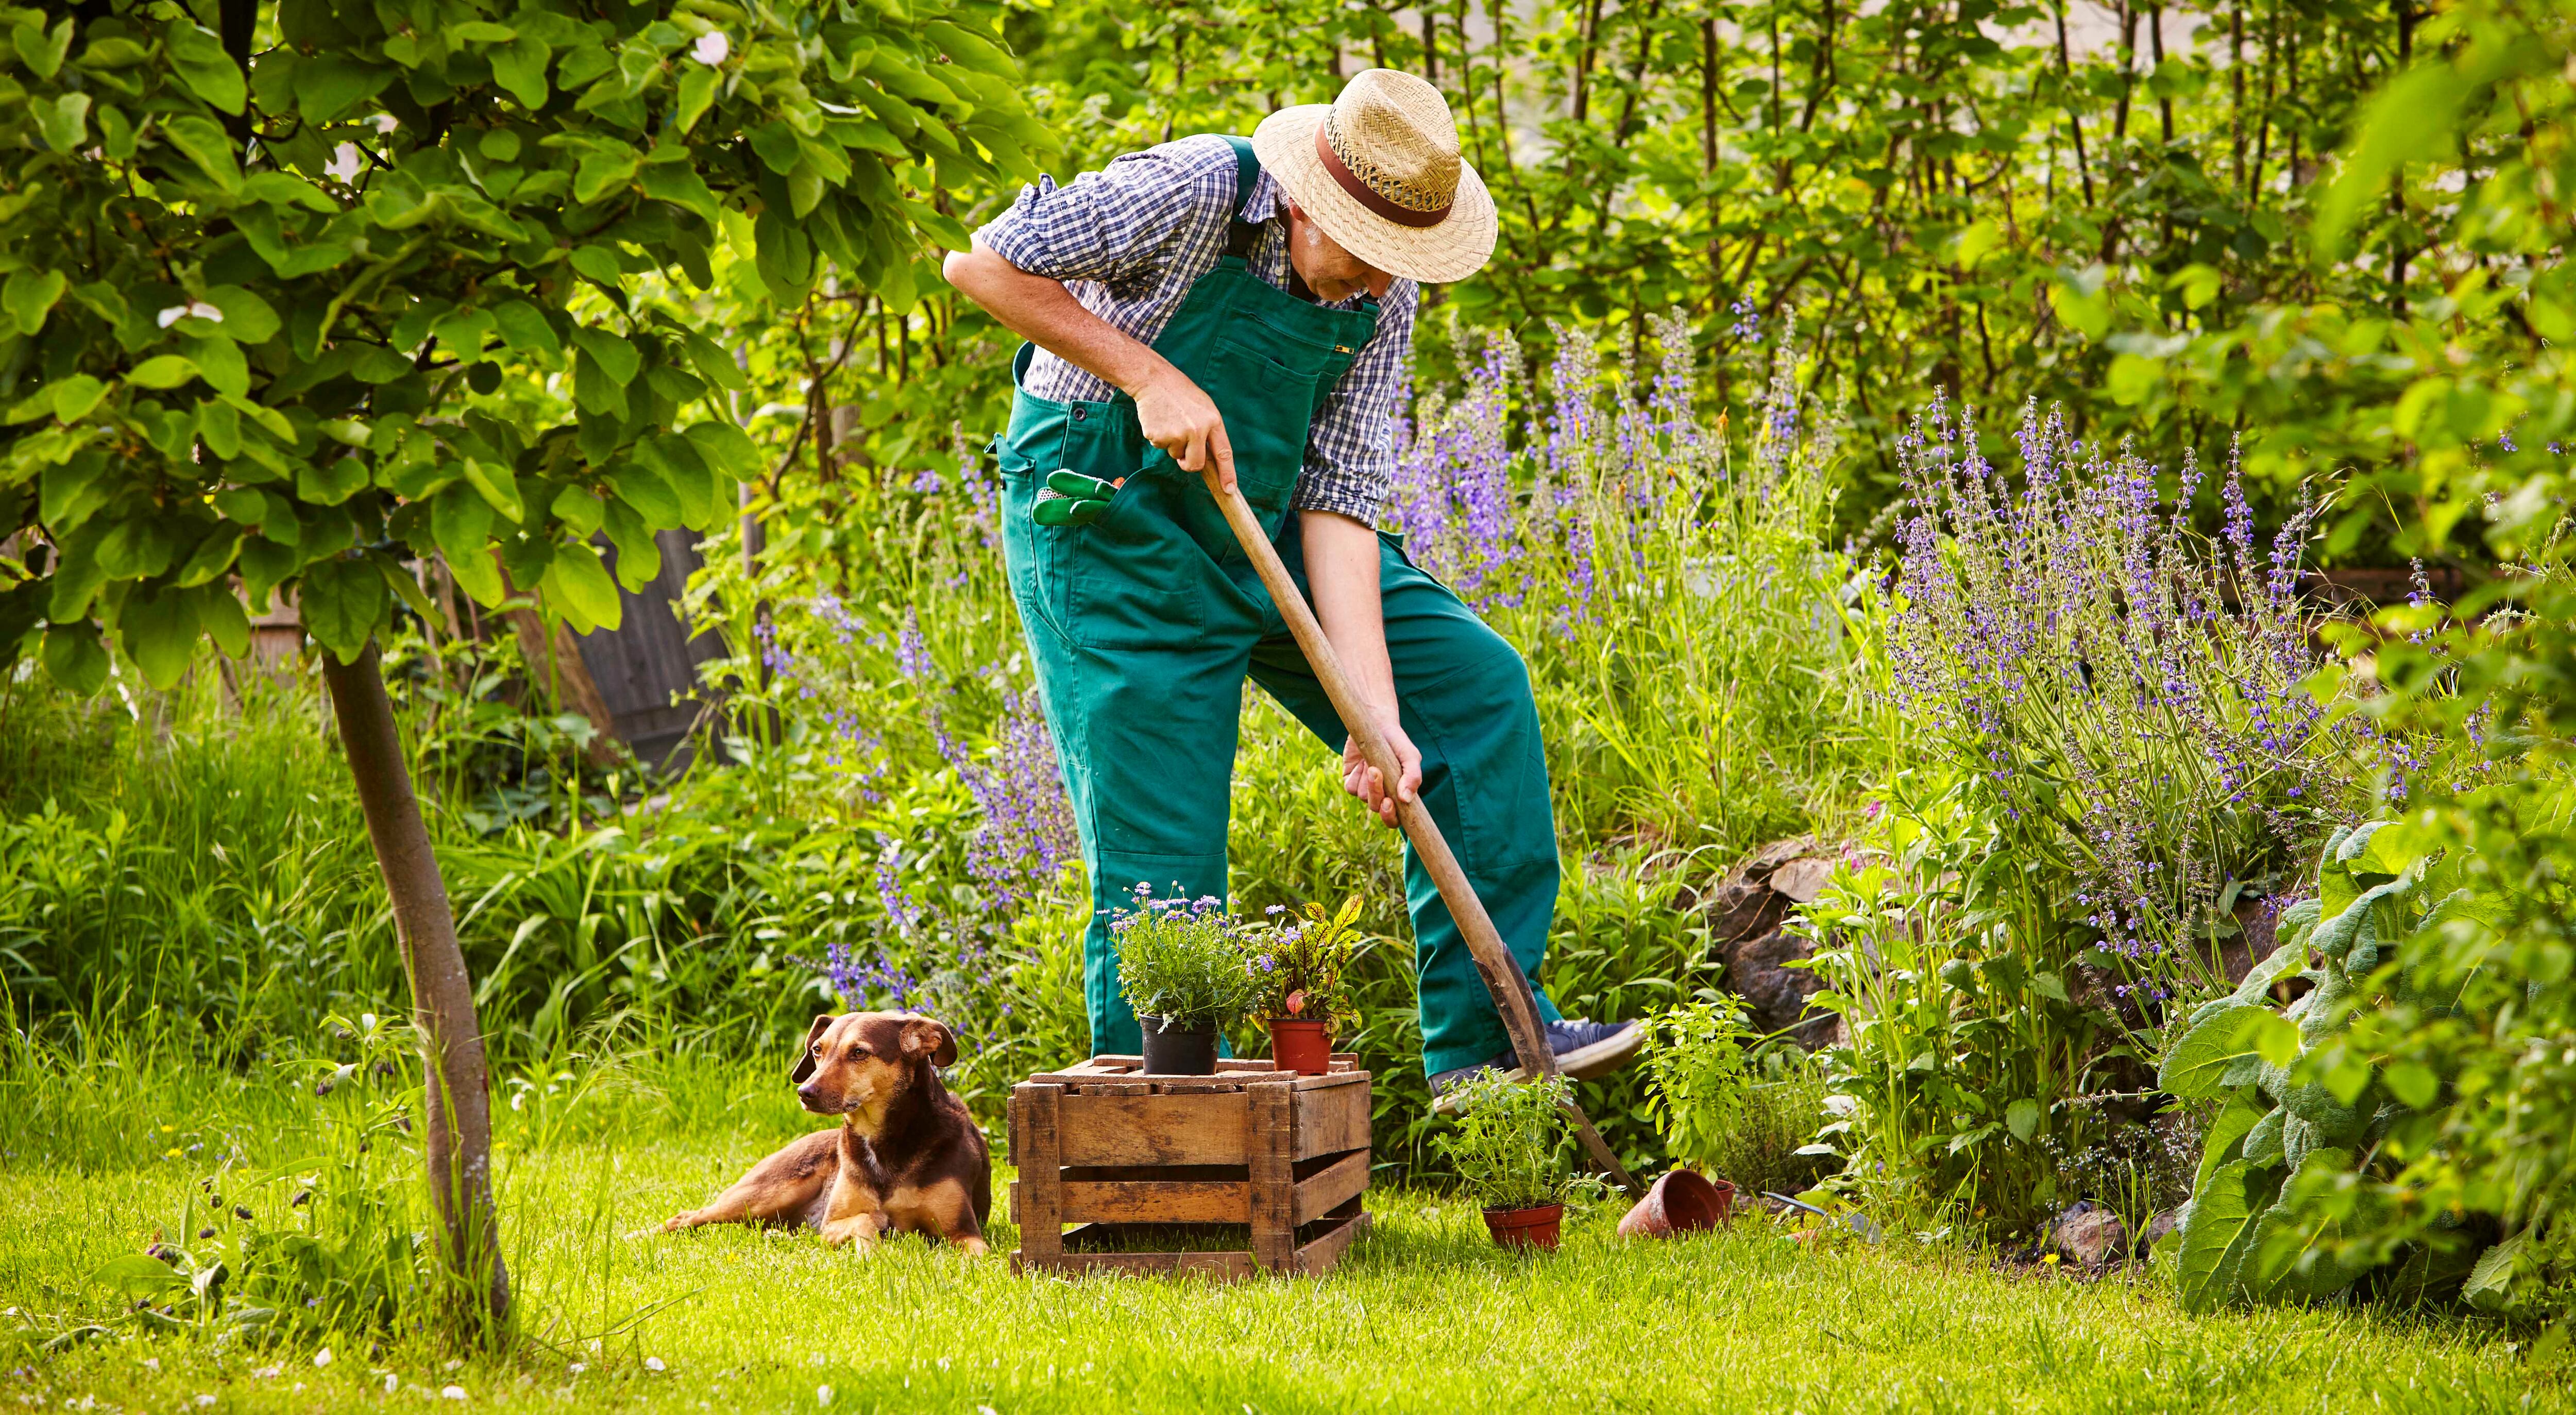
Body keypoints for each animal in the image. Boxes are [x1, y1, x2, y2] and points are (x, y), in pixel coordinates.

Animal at [649, 1010, 989, 1252]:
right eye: (816, 1050)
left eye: (860, 1053)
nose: (805, 1093)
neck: (886, 1142)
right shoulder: (832, 1224)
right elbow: (865, 1220)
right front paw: (875, 1246)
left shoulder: (965, 1233)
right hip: (760, 1195)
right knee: (687, 1216)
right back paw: (641, 1236)